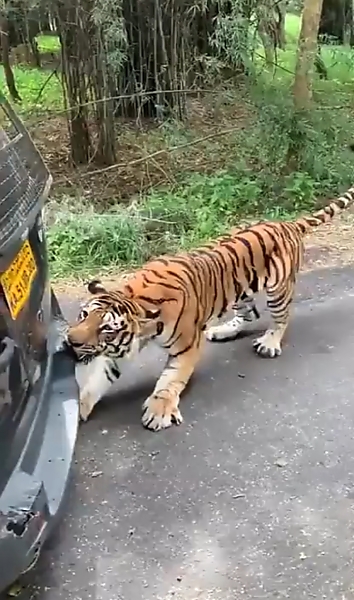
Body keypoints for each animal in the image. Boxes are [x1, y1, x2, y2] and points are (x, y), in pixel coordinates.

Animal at [65, 188, 354, 432]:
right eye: (83, 315)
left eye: (106, 329)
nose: (70, 341)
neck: (136, 300)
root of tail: (287, 224)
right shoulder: (119, 352)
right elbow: (97, 381)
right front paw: (79, 409)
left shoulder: (186, 347)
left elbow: (169, 381)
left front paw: (159, 410)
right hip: (240, 291)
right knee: (250, 313)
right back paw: (222, 331)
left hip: (277, 289)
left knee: (280, 318)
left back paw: (270, 343)